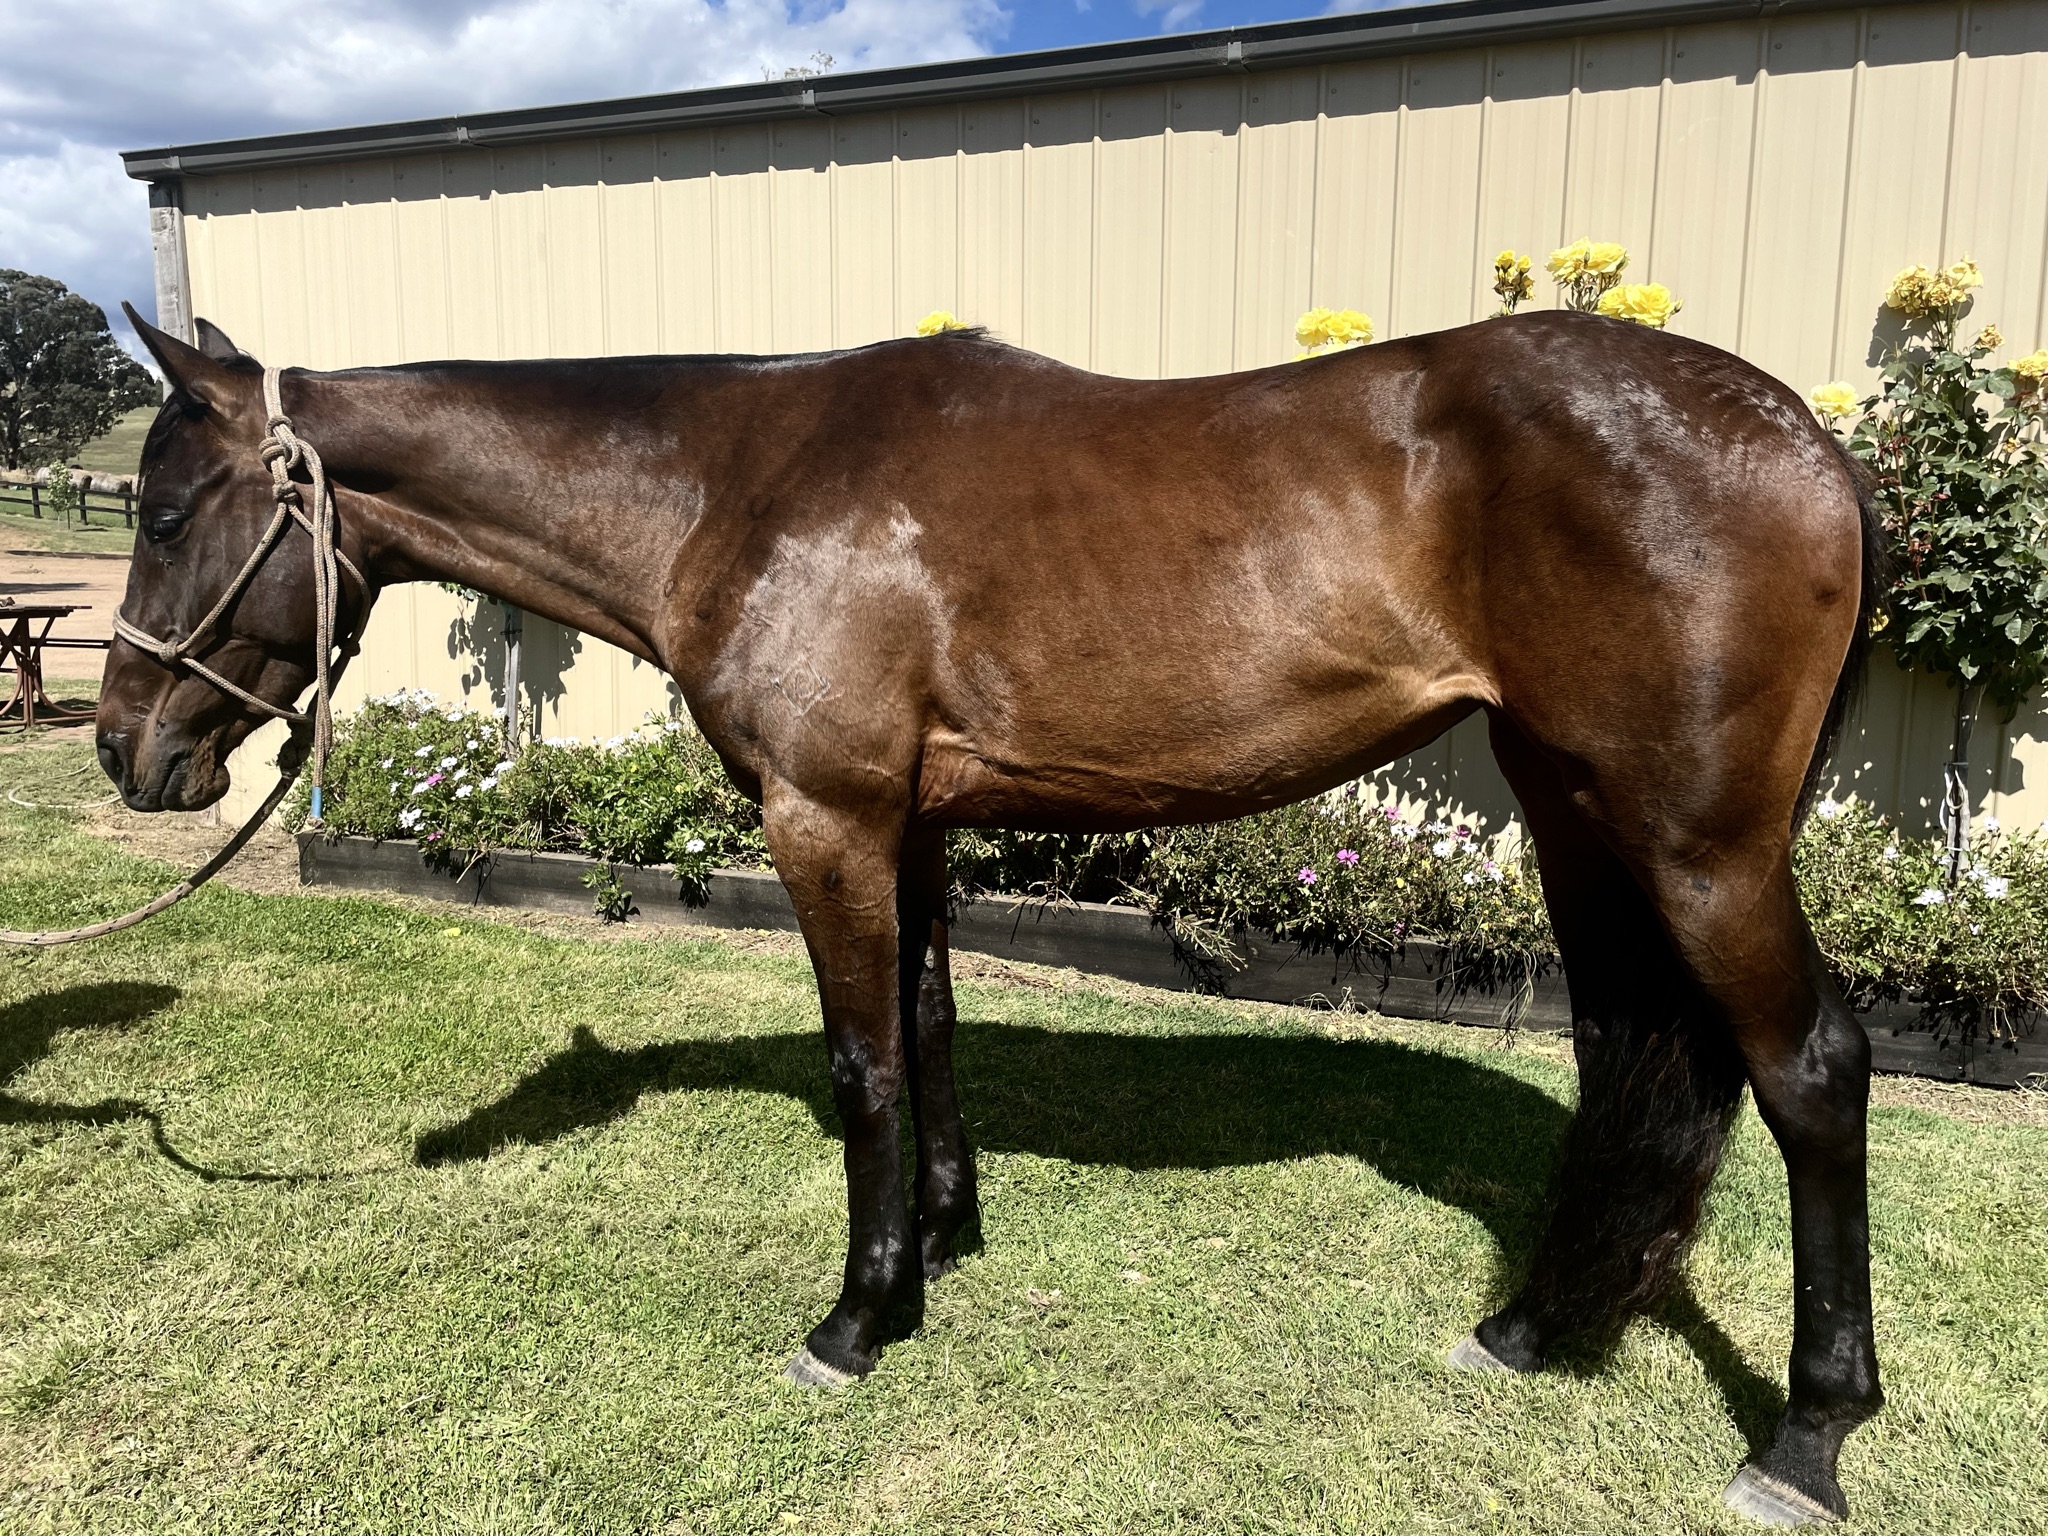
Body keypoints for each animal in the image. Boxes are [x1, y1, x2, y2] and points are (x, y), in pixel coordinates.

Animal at [101, 304, 1883, 1526]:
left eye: (167, 514)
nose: (132, 749)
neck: (734, 483)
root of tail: (1801, 434)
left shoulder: (825, 818)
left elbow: (861, 1065)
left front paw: (852, 1319)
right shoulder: (913, 827)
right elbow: (929, 1030)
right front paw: (940, 1243)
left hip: (1700, 844)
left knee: (1810, 1072)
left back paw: (1804, 1439)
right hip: (1578, 813)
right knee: (1628, 1059)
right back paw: (1521, 1330)